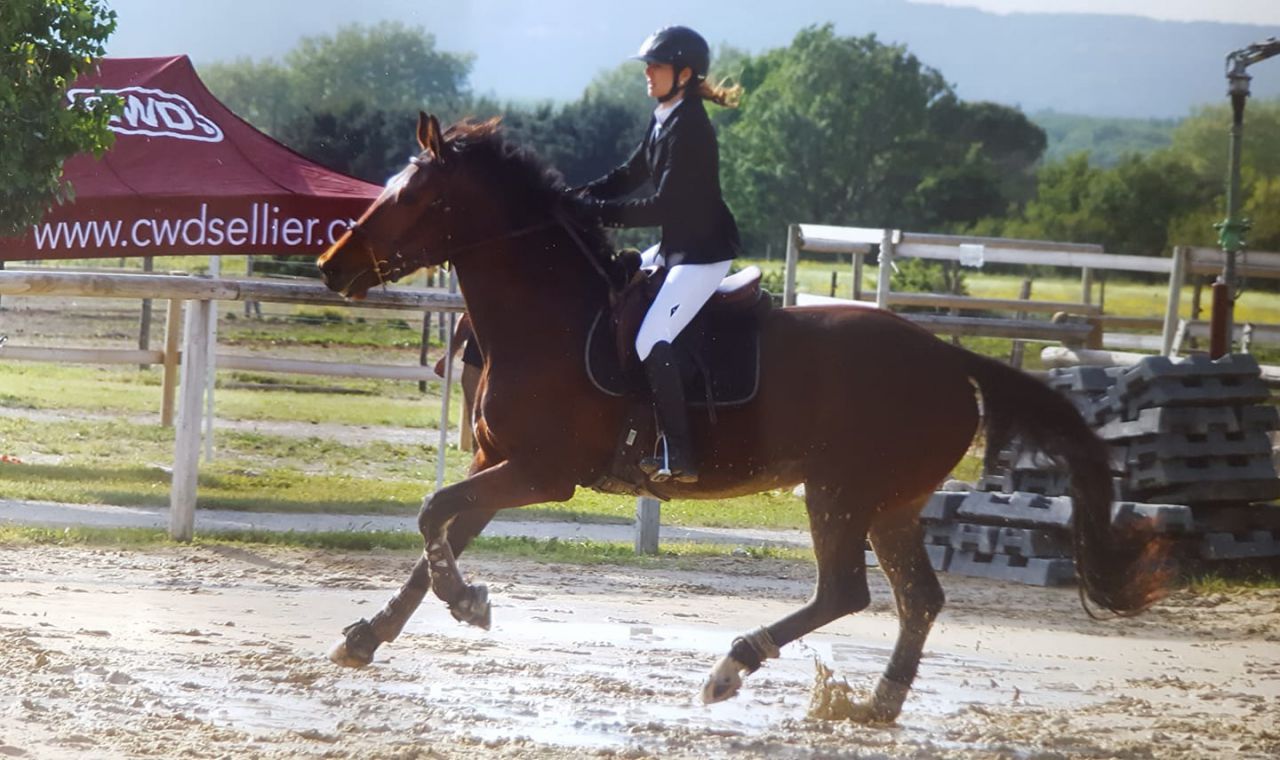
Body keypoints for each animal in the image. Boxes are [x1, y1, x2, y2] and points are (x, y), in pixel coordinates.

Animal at [316, 112, 1166, 720]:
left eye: (410, 198)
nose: (331, 267)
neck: (547, 316)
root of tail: (949, 356)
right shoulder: (500, 465)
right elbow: (440, 535)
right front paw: (369, 635)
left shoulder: (542, 473)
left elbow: (433, 516)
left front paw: (468, 603)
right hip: (892, 503)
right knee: (917, 598)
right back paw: (875, 704)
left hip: (840, 491)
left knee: (846, 594)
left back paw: (735, 664)